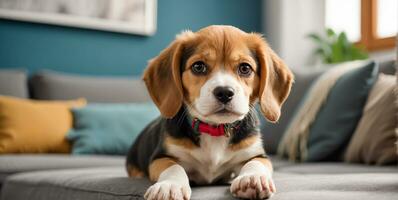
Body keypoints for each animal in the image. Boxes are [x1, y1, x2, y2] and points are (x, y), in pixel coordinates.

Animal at [126, 25, 294, 200]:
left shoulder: (256, 154)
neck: (215, 130)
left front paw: (252, 179)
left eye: (245, 68)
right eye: (198, 66)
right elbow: (174, 168)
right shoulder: (161, 157)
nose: (225, 92)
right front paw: (169, 186)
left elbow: (255, 163)